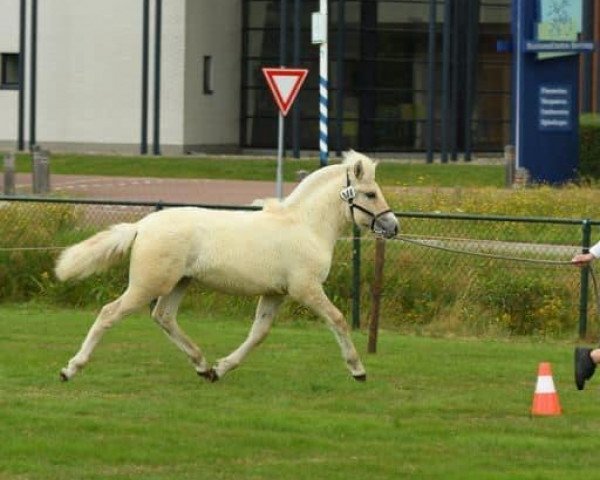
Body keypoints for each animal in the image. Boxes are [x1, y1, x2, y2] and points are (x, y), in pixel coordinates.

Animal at [56, 150, 400, 382]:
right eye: (371, 193)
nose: (392, 226)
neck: (305, 225)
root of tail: (141, 225)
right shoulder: (306, 289)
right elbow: (338, 320)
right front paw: (358, 370)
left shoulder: (275, 293)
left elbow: (258, 333)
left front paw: (221, 369)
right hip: (149, 284)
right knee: (109, 313)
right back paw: (70, 369)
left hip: (179, 283)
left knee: (164, 317)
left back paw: (202, 366)